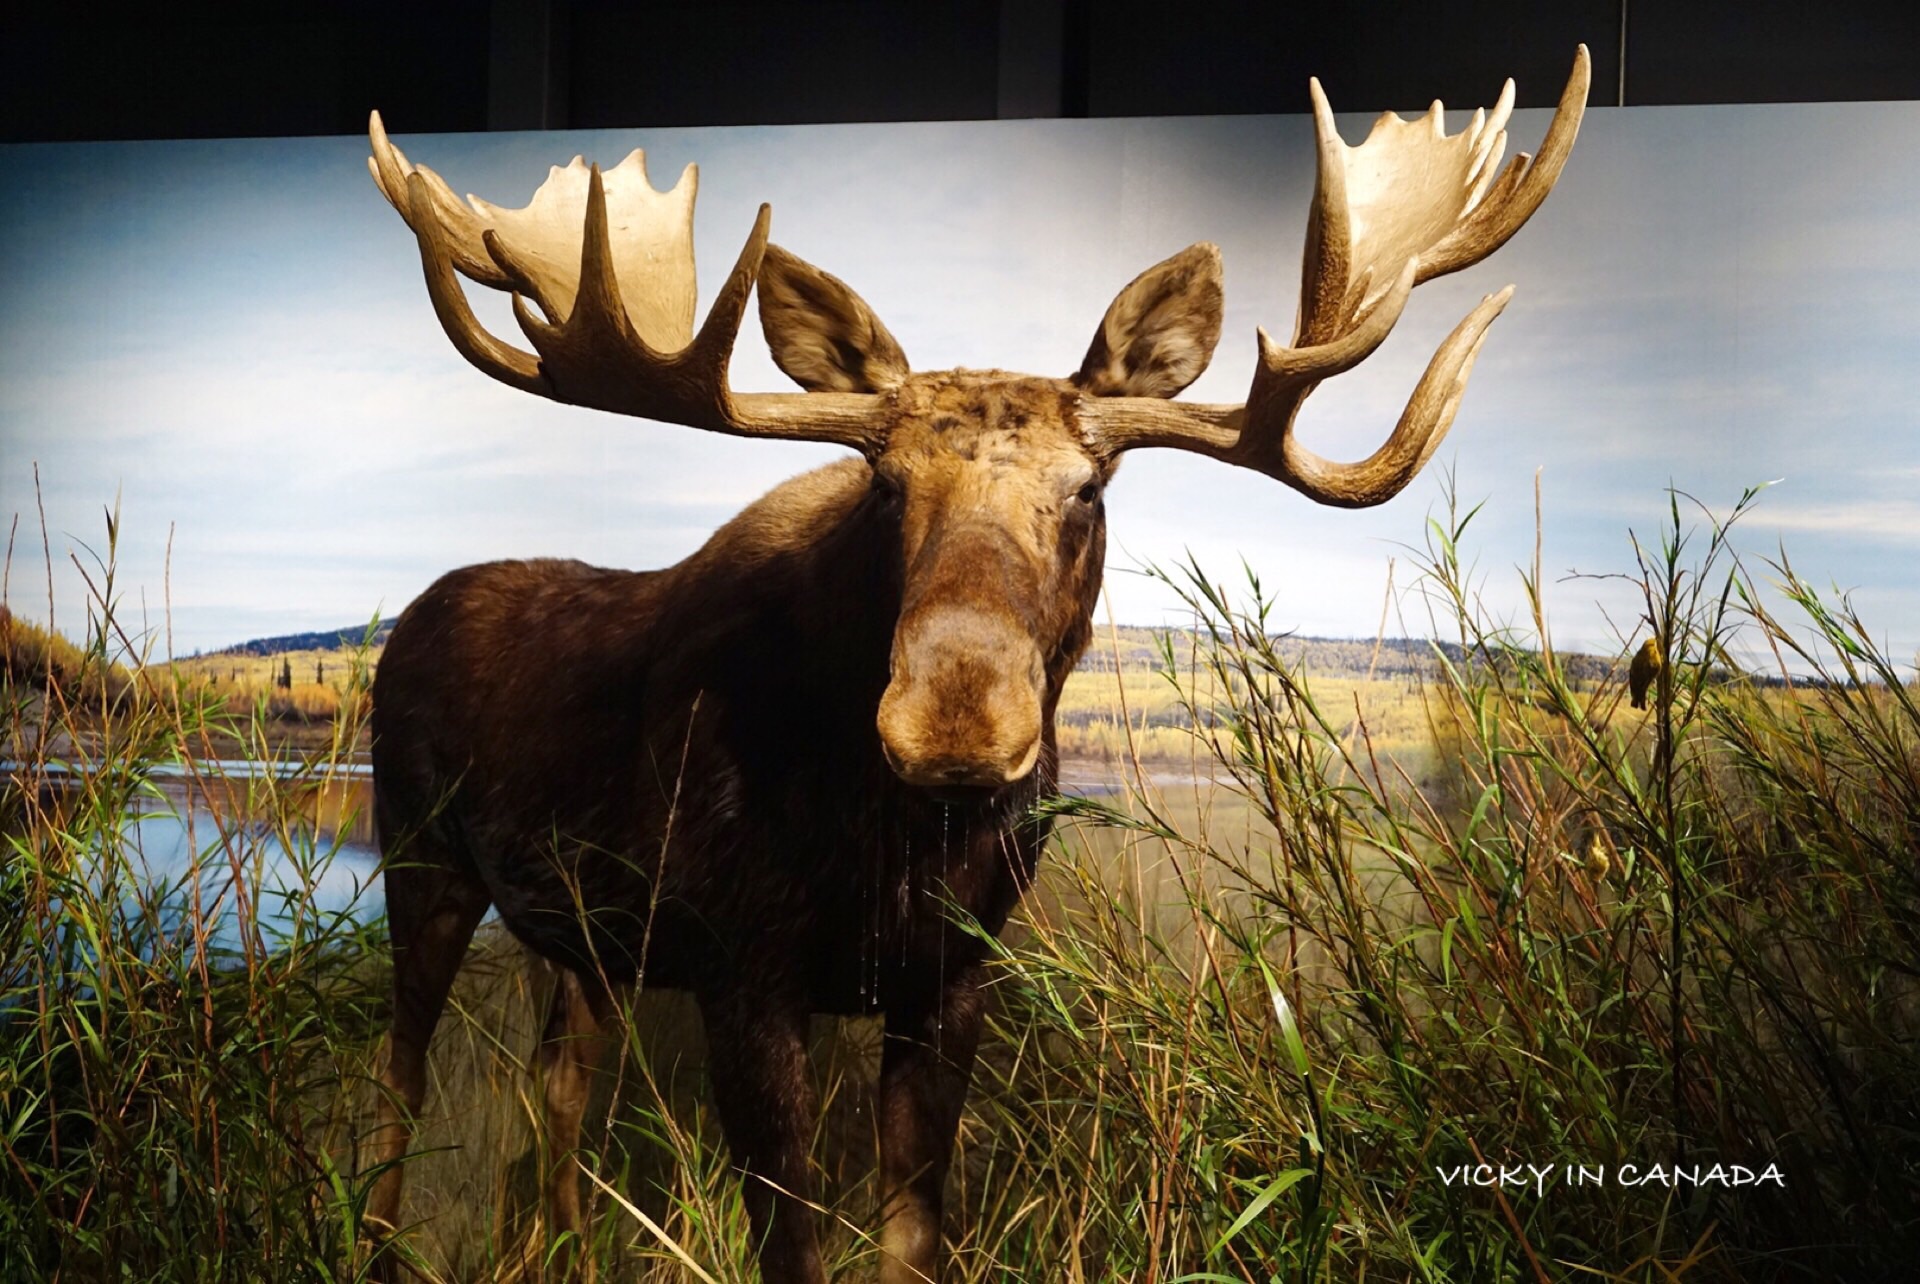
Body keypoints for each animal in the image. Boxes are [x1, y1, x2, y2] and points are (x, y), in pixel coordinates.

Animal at [360, 47, 1589, 1282]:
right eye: (885, 484)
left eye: (1088, 490)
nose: (954, 723)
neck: (891, 845)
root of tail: (409, 619)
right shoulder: (742, 970)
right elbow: (792, 1242)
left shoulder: (951, 975)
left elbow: (913, 1234)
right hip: (421, 862)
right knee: (400, 1085)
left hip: (575, 936)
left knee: (555, 1084)